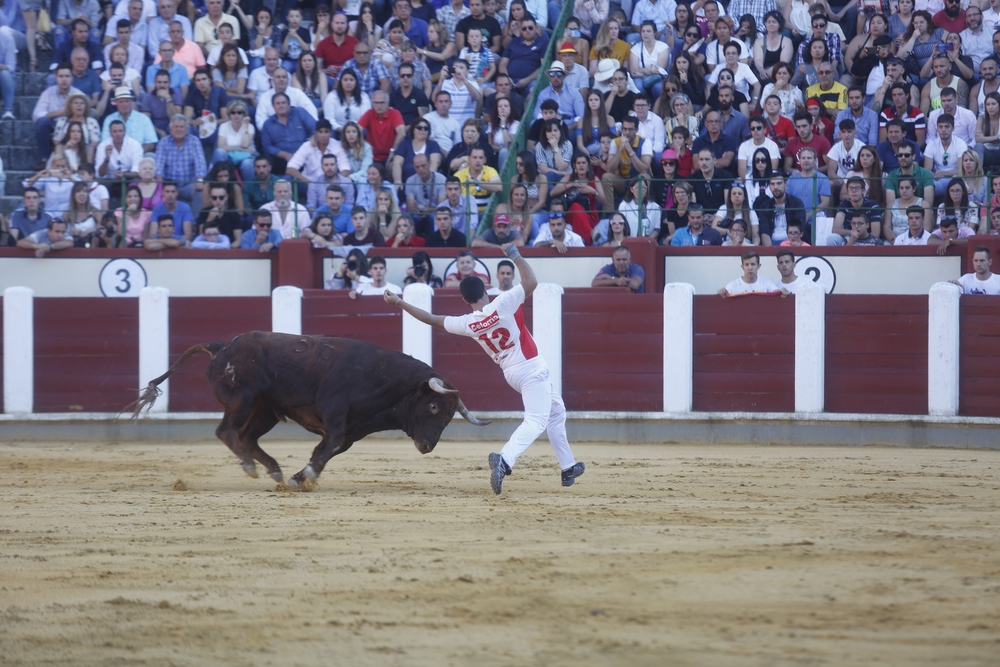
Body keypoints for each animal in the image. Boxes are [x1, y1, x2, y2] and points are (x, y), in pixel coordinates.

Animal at [129, 332, 492, 486]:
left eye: (449, 416)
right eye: (432, 406)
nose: (427, 446)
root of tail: (222, 345)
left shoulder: (351, 431)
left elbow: (327, 449)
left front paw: (299, 477)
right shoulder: (336, 415)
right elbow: (329, 446)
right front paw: (307, 475)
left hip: (264, 411)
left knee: (247, 437)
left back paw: (274, 470)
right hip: (243, 399)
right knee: (226, 431)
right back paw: (251, 467)